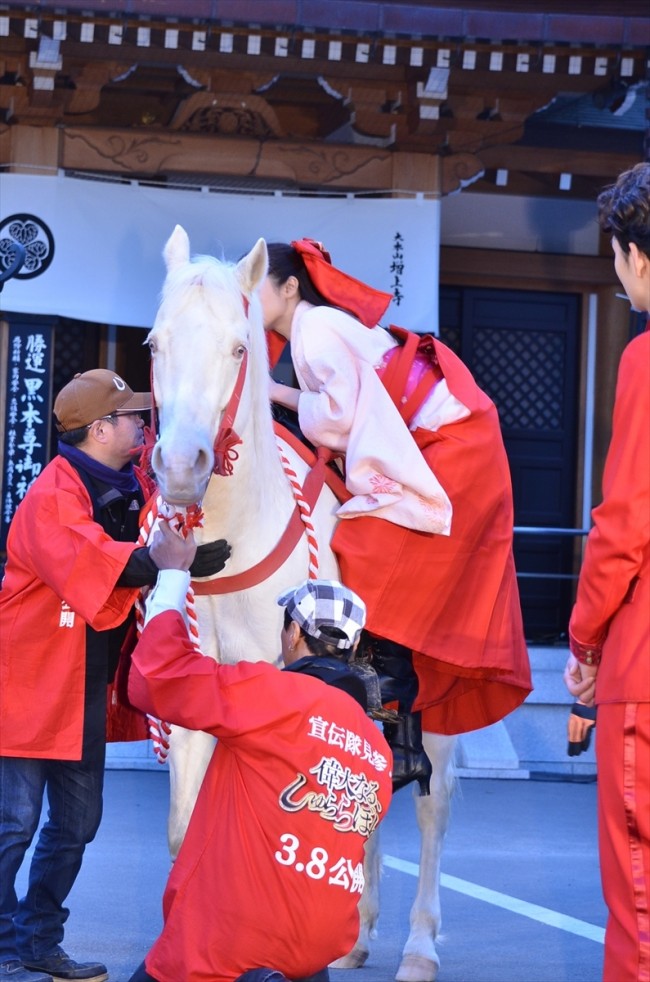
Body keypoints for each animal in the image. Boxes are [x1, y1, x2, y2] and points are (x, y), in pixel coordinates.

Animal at [146, 225, 454, 982]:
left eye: (238, 348)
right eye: (155, 344)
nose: (181, 467)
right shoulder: (195, 690)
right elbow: (184, 831)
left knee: (434, 808)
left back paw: (419, 947)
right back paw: (355, 936)